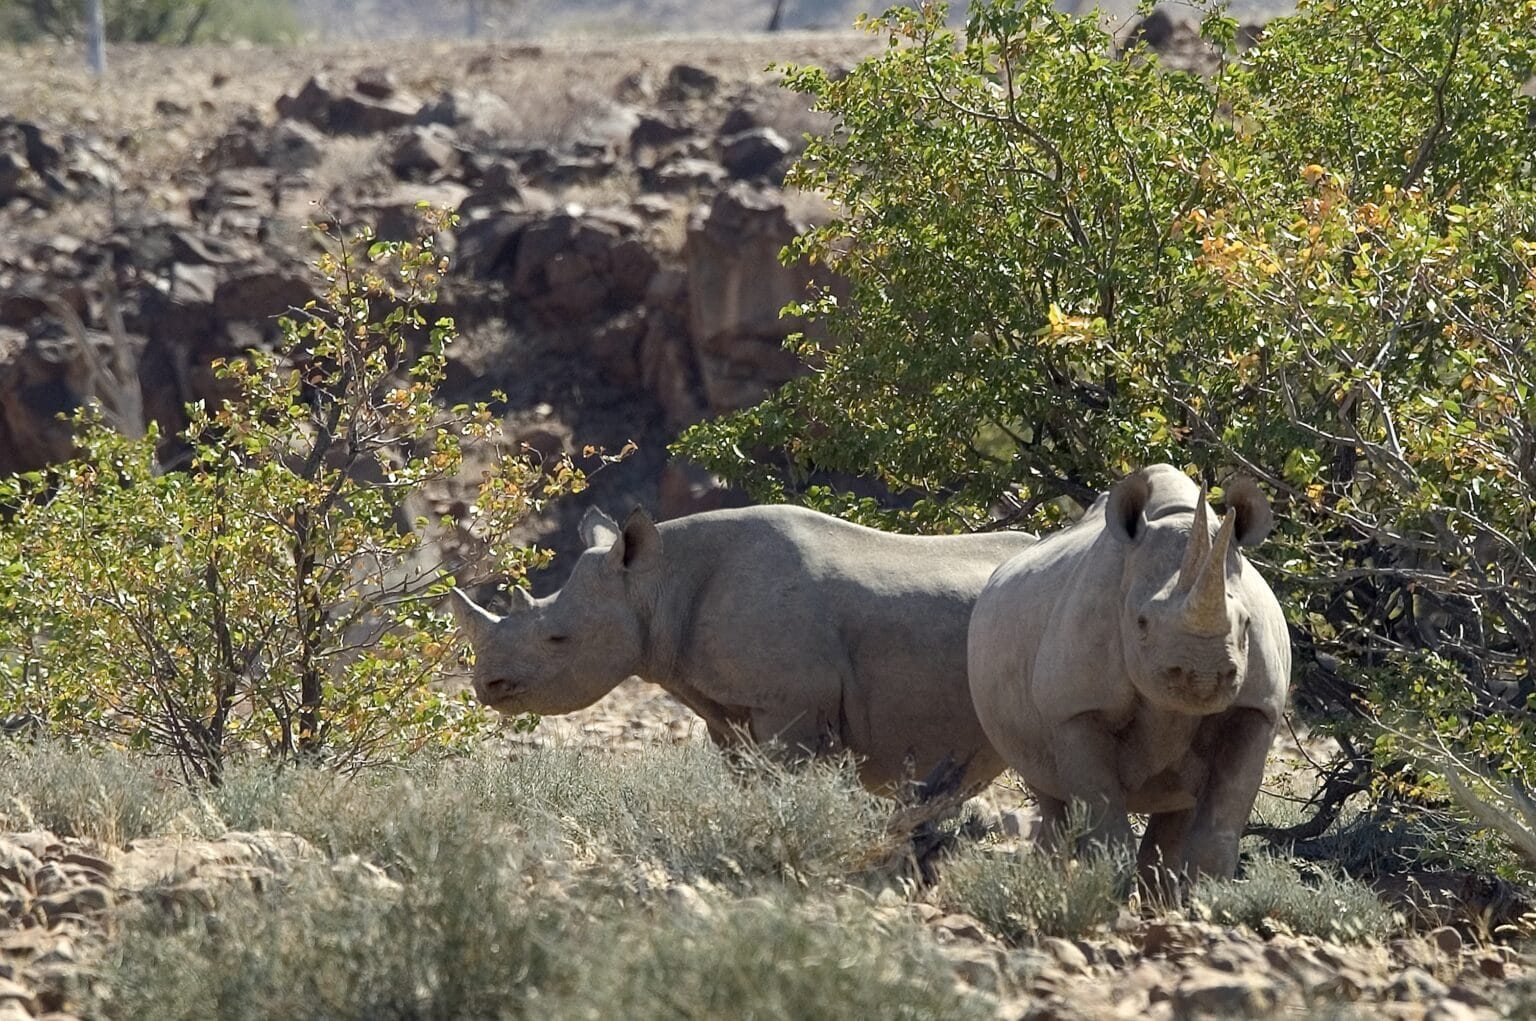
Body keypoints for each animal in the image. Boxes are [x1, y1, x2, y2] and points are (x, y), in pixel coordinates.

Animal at [451, 504, 1038, 792]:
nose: (487, 686)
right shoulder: (728, 707)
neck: (657, 582)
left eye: (558, 638)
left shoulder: (789, 705)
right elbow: (746, 778)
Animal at [967, 464, 1290, 879]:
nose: (1202, 676)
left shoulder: (1257, 708)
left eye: (1247, 623)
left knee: (1176, 811)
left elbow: (1216, 836)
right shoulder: (1076, 708)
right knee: (1049, 794)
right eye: (1141, 623)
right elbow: (1108, 837)